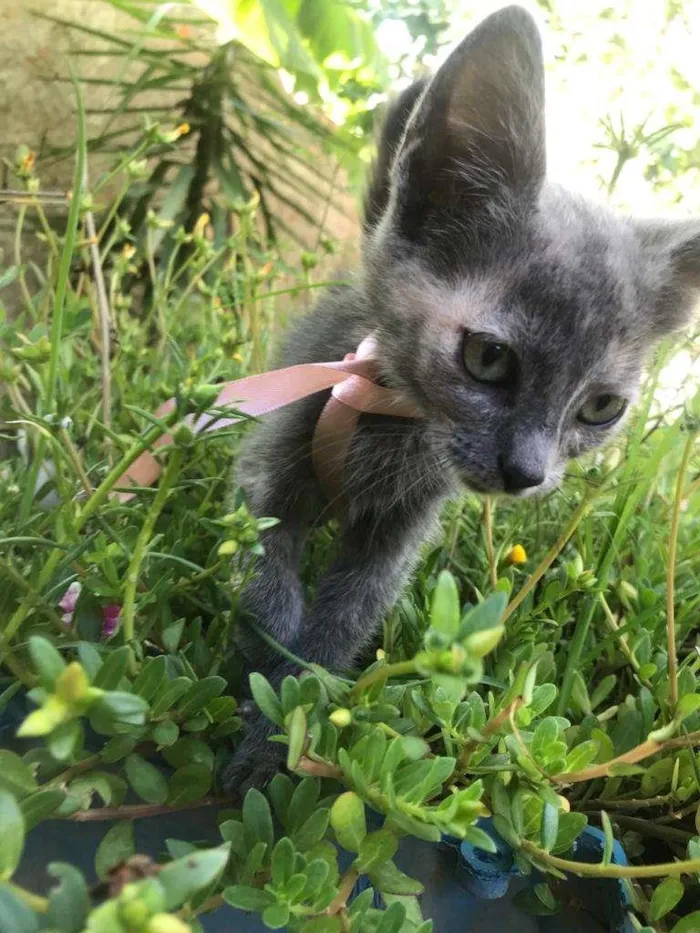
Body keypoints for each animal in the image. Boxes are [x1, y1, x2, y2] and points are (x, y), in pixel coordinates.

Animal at [223, 5, 700, 792]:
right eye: (487, 358)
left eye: (600, 409)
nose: (527, 473)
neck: (391, 416)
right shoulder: (269, 470)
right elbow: (268, 582)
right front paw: (267, 683)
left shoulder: (398, 535)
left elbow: (344, 621)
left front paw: (285, 717)